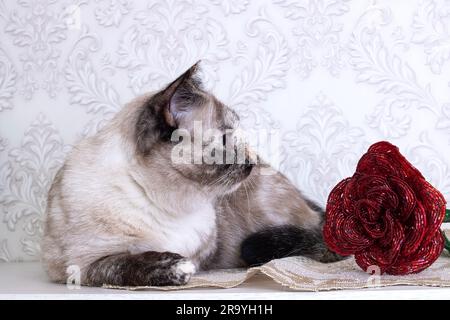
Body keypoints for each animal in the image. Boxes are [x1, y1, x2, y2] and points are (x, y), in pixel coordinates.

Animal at [42, 62, 342, 288]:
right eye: (226, 139)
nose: (253, 161)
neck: (166, 201)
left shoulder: (204, 251)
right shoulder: (80, 265)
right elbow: (122, 263)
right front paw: (173, 266)